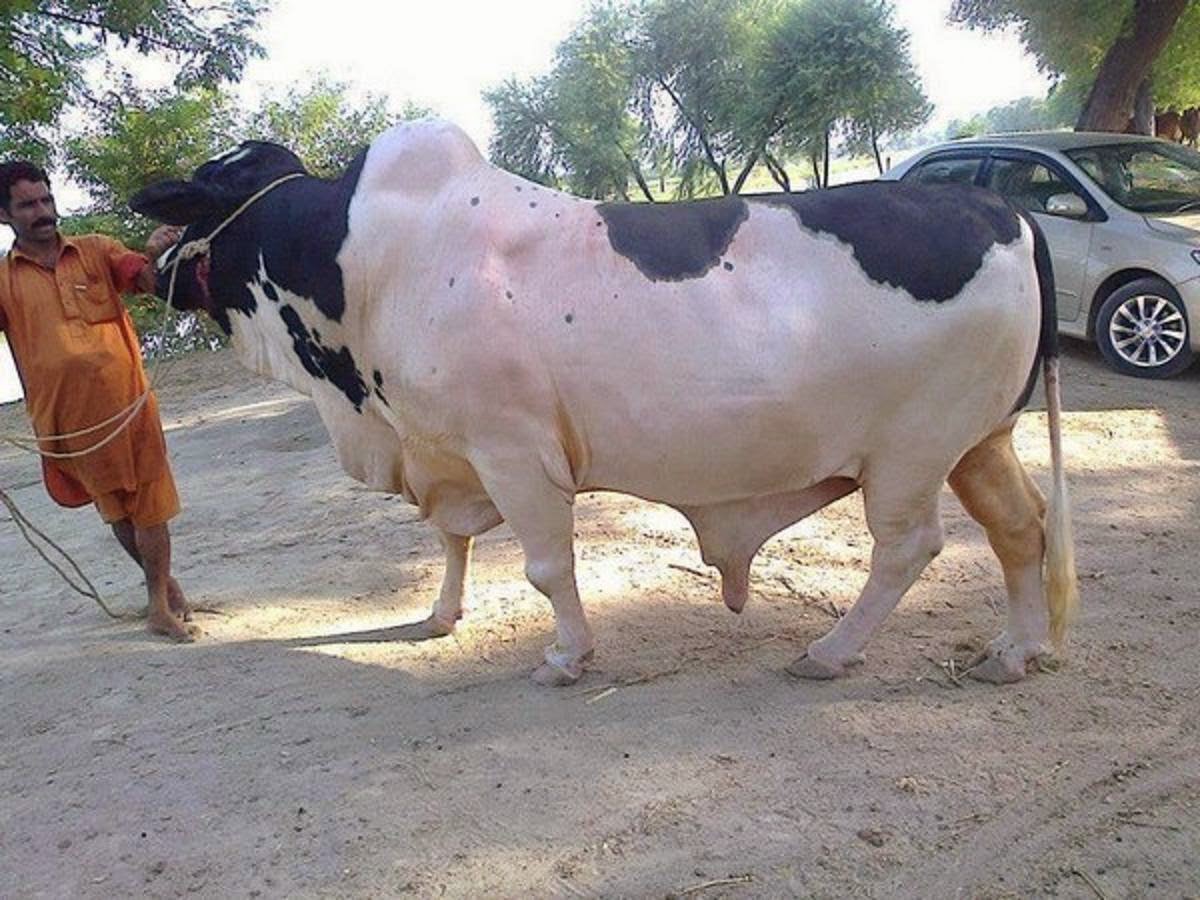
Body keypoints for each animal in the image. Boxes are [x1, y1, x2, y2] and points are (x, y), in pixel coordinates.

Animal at [131, 120, 1078, 687]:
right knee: (1020, 528)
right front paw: (440, 614)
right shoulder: (446, 450)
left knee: (908, 548)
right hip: (980, 441)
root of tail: (996, 203)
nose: (148, 265)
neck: (367, 260)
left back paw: (830, 651)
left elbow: (548, 566)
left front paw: (565, 656)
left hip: (912, 452)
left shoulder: (512, 451)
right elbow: (450, 540)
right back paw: (1015, 650)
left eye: (200, 198)